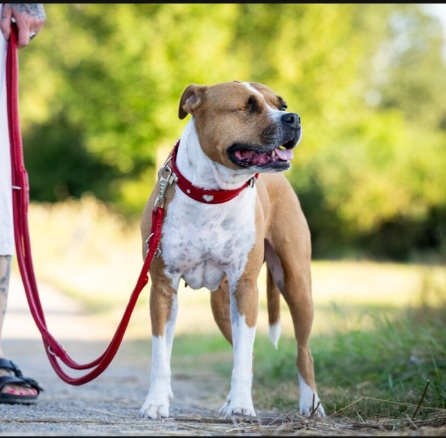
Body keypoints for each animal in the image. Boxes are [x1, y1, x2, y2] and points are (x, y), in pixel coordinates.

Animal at [139, 80, 324, 420]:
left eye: (281, 104)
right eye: (249, 106)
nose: (293, 117)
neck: (212, 193)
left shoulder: (246, 286)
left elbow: (242, 357)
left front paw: (241, 406)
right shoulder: (162, 287)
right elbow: (161, 354)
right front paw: (156, 402)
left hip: (296, 285)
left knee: (303, 351)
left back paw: (311, 404)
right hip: (223, 305)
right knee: (244, 350)